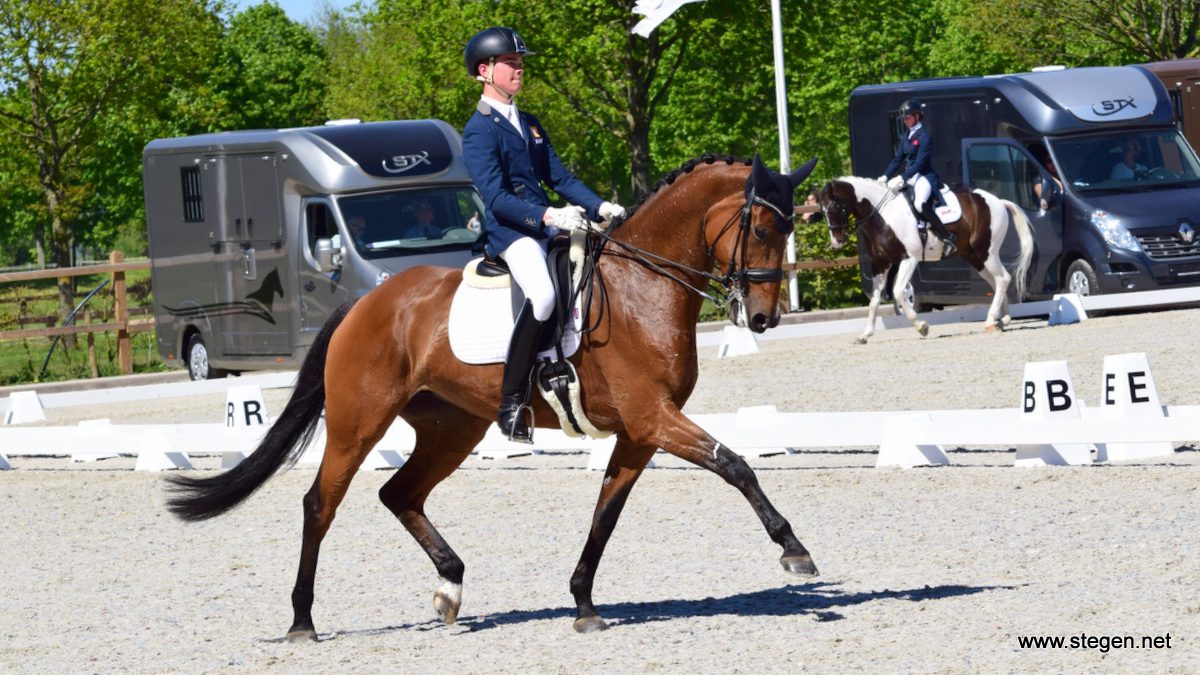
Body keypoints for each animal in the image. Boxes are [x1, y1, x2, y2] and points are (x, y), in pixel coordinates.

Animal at [164, 152, 820, 634]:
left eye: (791, 226)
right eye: (763, 227)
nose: (764, 318)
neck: (643, 287)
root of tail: (364, 303)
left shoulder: (641, 430)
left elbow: (606, 513)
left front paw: (583, 604)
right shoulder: (652, 417)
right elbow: (735, 465)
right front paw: (793, 549)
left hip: (452, 427)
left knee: (399, 493)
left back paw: (450, 587)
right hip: (358, 422)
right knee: (320, 504)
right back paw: (303, 619)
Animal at [820, 176, 1036, 341]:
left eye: (836, 207)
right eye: (822, 212)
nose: (836, 243)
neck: (882, 215)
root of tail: (998, 201)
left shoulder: (909, 258)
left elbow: (898, 292)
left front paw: (922, 326)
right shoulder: (880, 263)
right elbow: (874, 300)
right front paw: (865, 335)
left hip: (986, 251)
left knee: (1003, 278)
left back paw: (992, 320)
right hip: (974, 256)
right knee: (996, 281)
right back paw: (1002, 320)